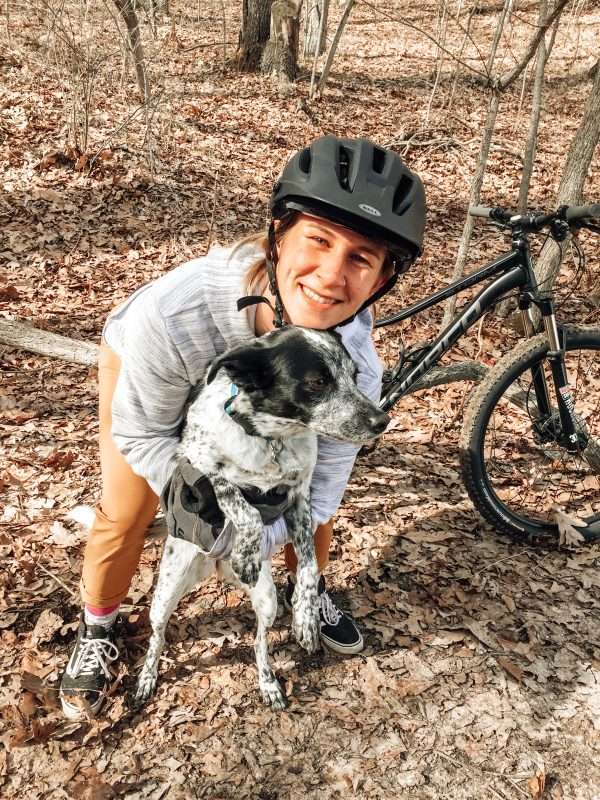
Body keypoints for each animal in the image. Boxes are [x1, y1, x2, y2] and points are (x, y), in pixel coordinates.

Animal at [134, 328, 390, 708]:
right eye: (317, 381)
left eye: (354, 376)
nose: (382, 421)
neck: (271, 438)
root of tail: (216, 567)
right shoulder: (195, 464)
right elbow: (244, 505)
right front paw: (246, 553)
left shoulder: (300, 497)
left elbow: (309, 566)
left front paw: (305, 618)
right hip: (166, 591)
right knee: (158, 636)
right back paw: (147, 677)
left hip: (266, 601)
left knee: (260, 644)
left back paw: (269, 683)